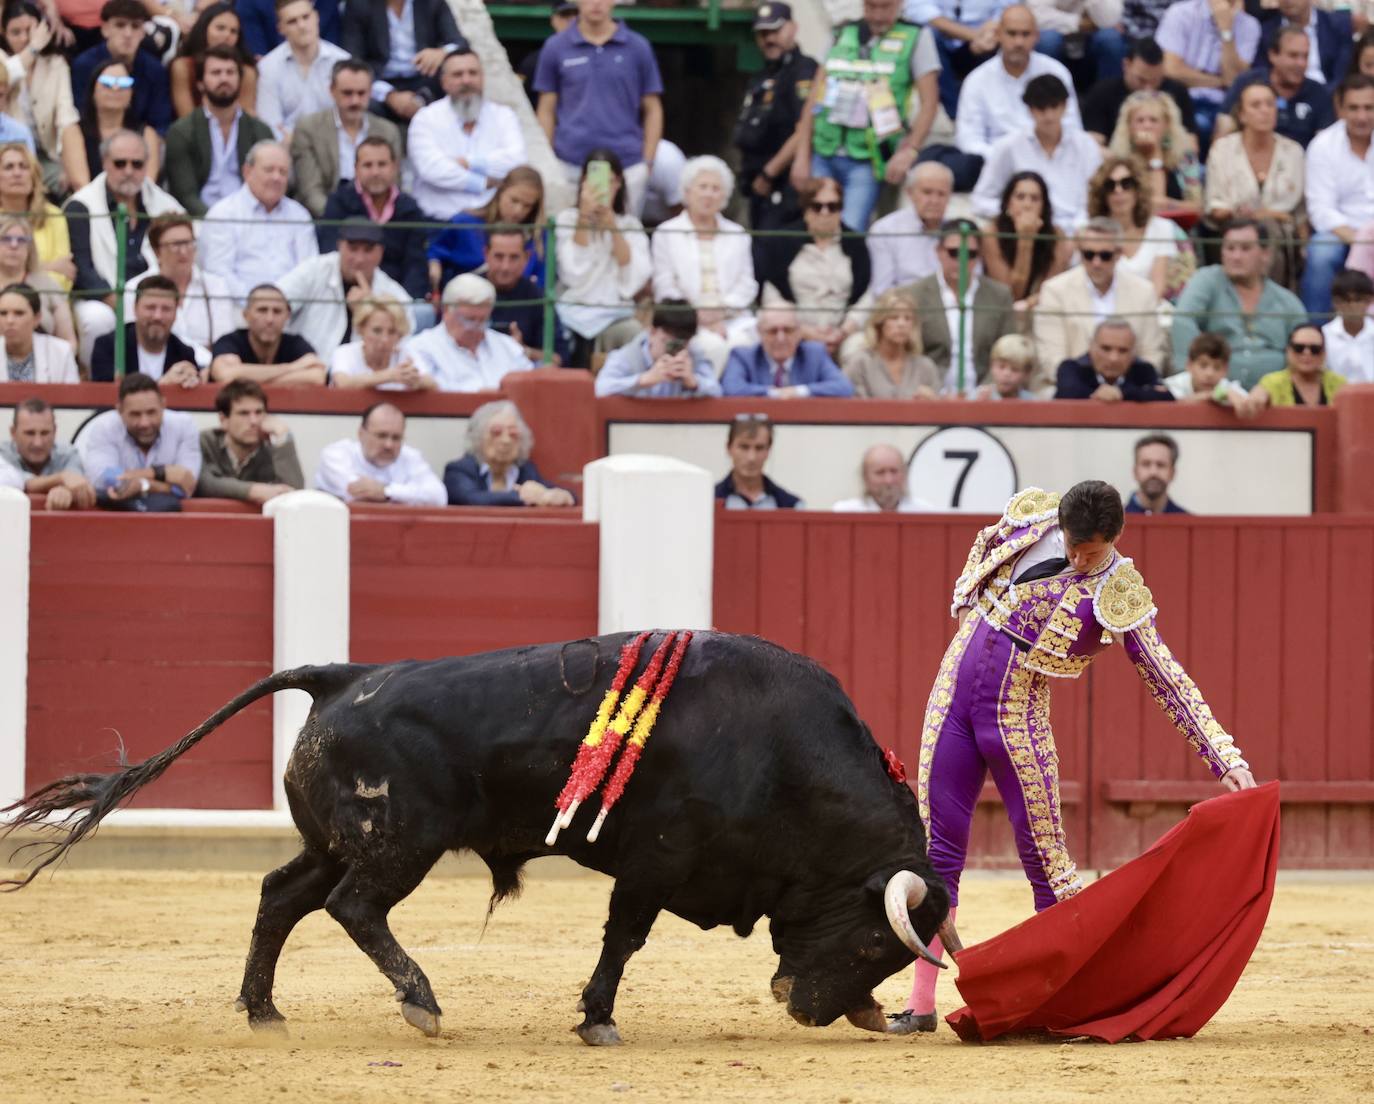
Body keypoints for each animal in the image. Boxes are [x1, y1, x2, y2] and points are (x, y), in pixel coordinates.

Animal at [0, 629, 950, 1044]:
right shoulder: (655, 862)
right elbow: (623, 941)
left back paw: (263, 1010)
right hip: (398, 846)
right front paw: (597, 1021)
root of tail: (342, 675)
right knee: (352, 909)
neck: (783, 755)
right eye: (874, 943)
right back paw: (421, 1002)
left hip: (339, 839)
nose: (812, 1012)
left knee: (282, 896)